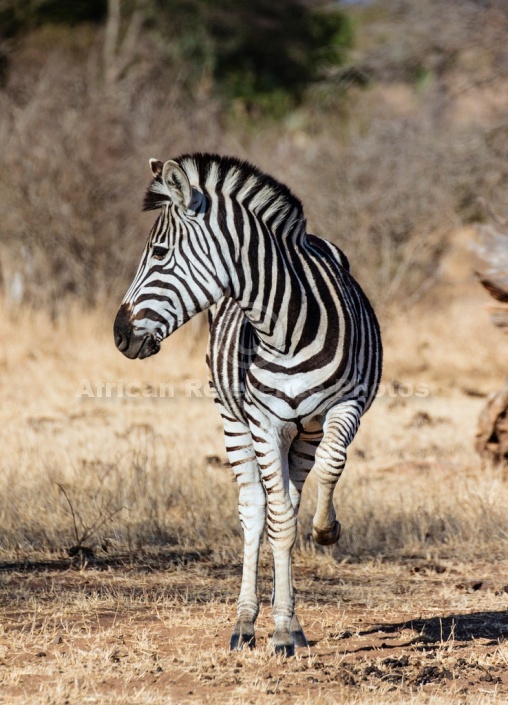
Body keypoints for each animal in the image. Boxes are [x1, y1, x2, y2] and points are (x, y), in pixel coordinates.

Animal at [114, 153, 380, 656]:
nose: (119, 335)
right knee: (257, 509)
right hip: (233, 421)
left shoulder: (345, 406)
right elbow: (275, 519)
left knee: (291, 496)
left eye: (158, 253)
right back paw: (246, 623)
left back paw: (290, 615)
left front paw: (326, 530)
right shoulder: (262, 421)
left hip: (304, 431)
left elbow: (330, 469)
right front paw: (278, 630)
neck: (286, 327)